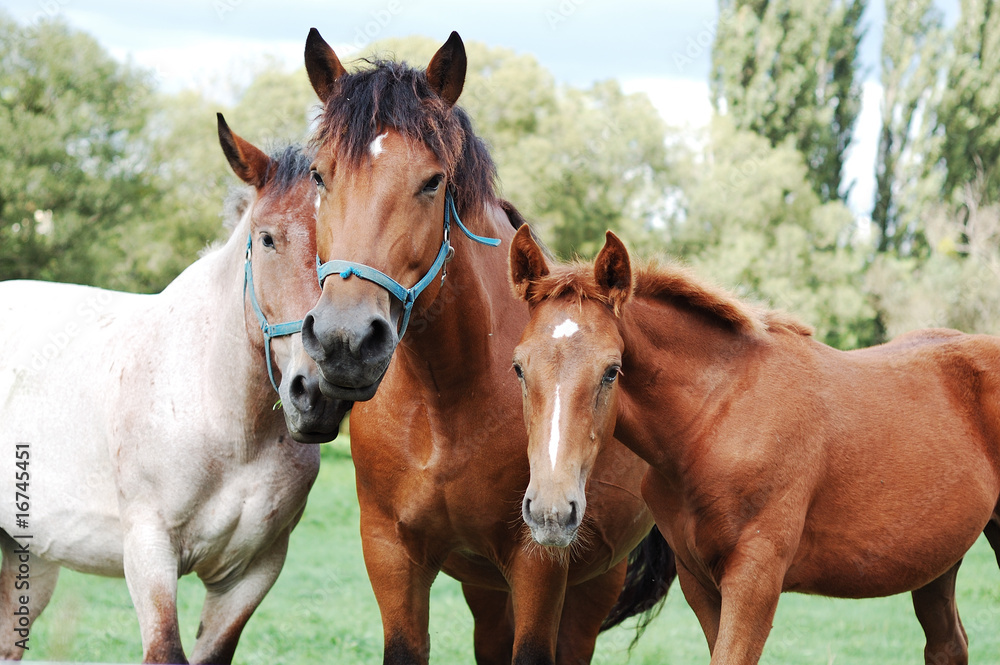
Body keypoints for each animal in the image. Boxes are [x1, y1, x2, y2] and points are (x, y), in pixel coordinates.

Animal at [296, 28, 674, 664]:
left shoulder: (538, 561)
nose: (345, 339)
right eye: (321, 177)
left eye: (432, 181)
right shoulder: (392, 555)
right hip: (486, 591)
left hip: (595, 582)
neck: (446, 404)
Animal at [508, 225, 1000, 665]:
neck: (714, 422)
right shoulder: (700, 583)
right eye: (518, 367)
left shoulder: (755, 579)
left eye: (612, 370)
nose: (552, 512)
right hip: (937, 561)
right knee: (948, 646)